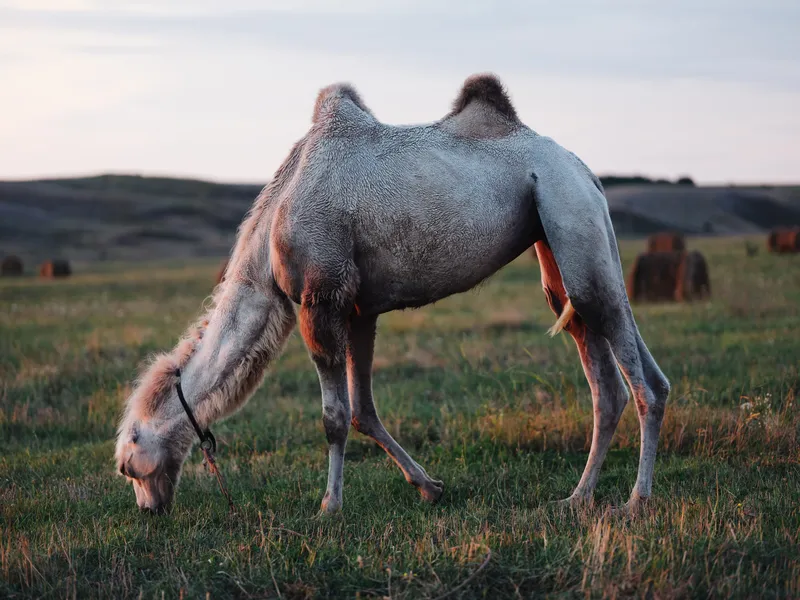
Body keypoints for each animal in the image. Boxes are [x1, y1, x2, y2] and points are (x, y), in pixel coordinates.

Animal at [115, 74, 670, 516]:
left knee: (635, 377)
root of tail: (586, 172)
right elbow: (364, 411)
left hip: (568, 211)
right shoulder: (359, 308)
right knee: (612, 375)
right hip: (559, 243)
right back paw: (578, 497)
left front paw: (329, 506)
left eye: (127, 466)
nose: (149, 511)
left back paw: (634, 501)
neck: (271, 237)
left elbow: (335, 418)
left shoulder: (322, 297)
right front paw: (430, 487)